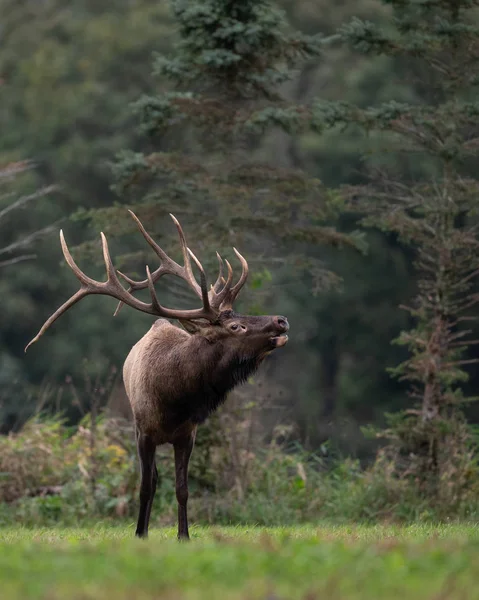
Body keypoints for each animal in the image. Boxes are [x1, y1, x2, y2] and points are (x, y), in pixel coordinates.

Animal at [25, 211, 288, 540]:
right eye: (235, 326)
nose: (281, 320)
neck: (174, 399)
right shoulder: (143, 432)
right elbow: (145, 487)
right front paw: (140, 532)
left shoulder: (187, 434)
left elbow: (182, 488)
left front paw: (183, 535)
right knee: (151, 479)